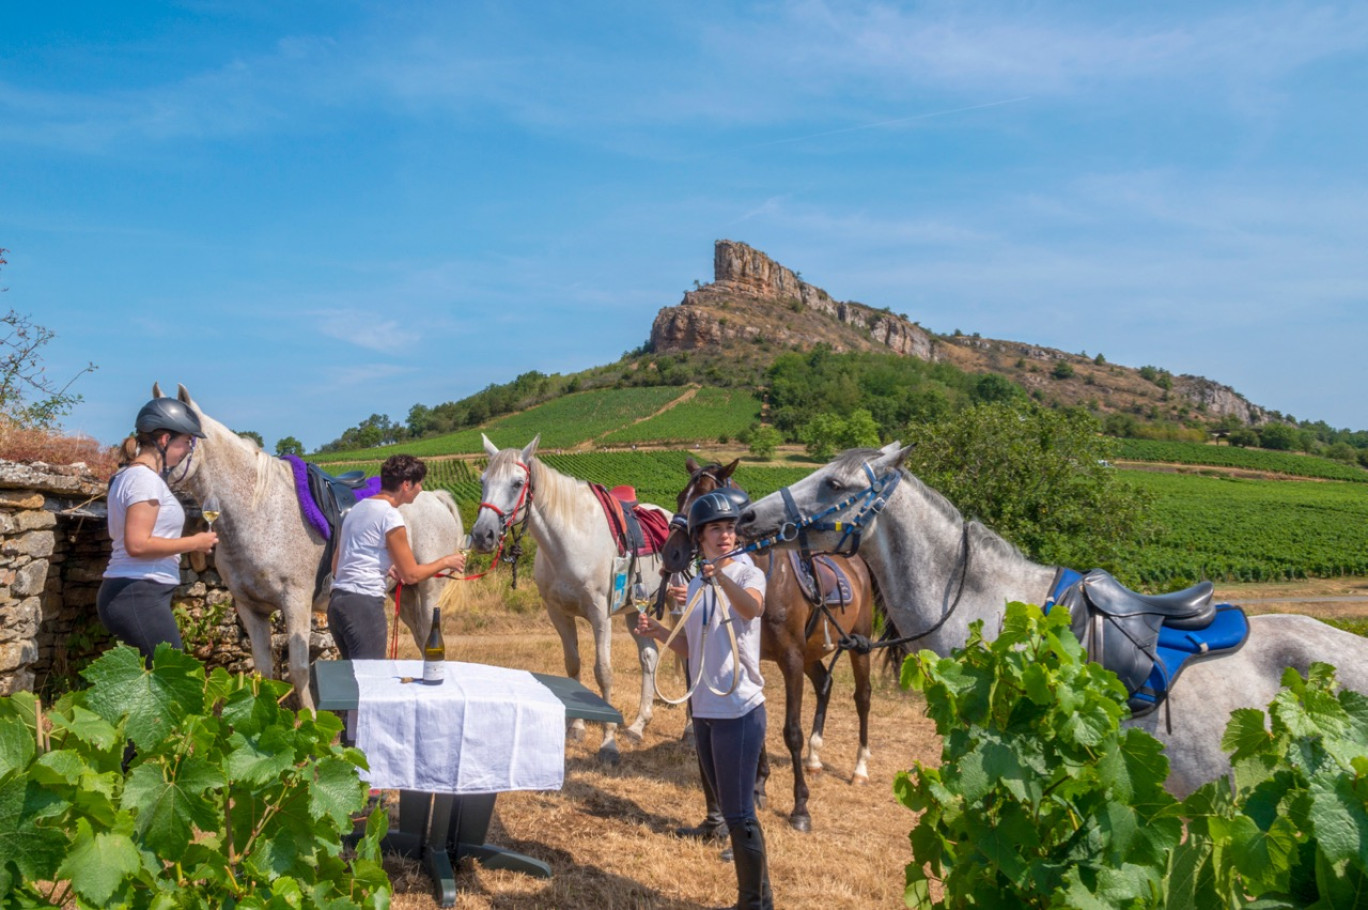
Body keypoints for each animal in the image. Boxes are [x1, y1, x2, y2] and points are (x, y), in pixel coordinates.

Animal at [155, 383, 465, 711]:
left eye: (169, 437)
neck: (257, 509)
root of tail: (435, 497)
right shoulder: (251, 609)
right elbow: (263, 672)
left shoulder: (296, 601)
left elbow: (299, 670)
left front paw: (310, 720)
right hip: (404, 594)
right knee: (420, 642)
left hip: (428, 592)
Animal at [465, 432, 667, 760]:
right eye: (483, 481)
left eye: (517, 483)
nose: (483, 535)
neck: (570, 540)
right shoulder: (558, 613)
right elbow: (573, 666)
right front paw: (576, 727)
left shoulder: (600, 616)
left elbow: (603, 672)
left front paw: (608, 742)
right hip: (637, 613)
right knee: (649, 657)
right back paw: (637, 726)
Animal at [662, 454, 875, 832]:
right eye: (679, 497)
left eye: (705, 498)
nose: (671, 553)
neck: (764, 578)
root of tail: (858, 564)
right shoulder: (758, 658)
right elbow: (756, 723)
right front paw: (758, 787)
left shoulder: (790, 659)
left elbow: (791, 732)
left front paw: (800, 807)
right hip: (812, 654)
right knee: (824, 683)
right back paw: (814, 759)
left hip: (857, 646)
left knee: (862, 697)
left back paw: (859, 768)